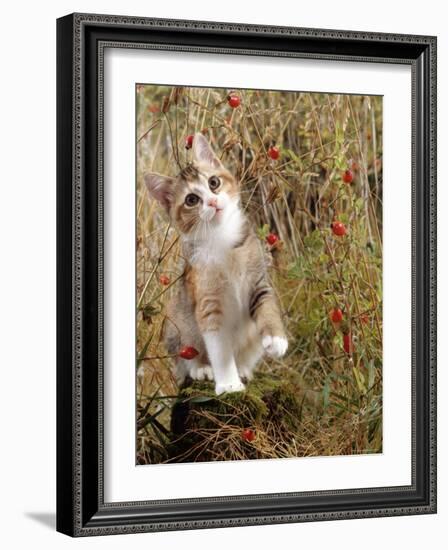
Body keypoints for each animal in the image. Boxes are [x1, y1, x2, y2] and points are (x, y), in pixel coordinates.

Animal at [145, 134, 288, 394]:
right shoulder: (208, 302)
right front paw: (229, 383)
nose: (212, 202)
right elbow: (220, 349)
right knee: (184, 359)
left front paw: (276, 339)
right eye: (191, 199)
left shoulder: (258, 281)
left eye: (214, 182)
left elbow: (267, 307)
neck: (222, 239)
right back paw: (202, 369)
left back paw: (243, 369)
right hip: (177, 322)